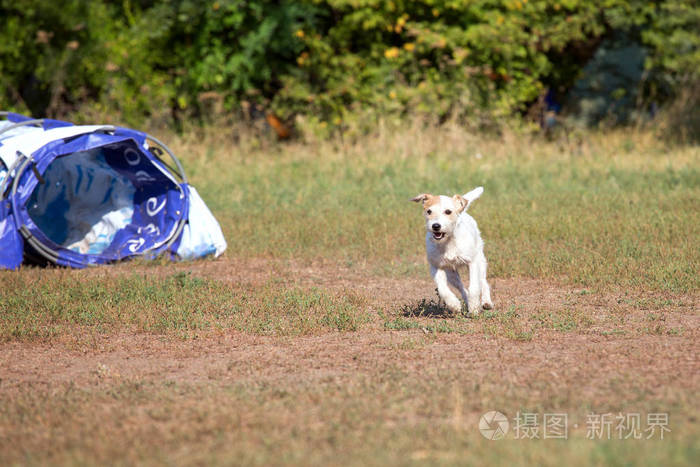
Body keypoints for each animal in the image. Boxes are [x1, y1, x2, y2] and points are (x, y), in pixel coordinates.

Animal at [410, 186, 492, 314]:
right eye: (429, 211)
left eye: (448, 211)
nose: (436, 226)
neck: (448, 242)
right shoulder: (436, 267)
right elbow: (443, 290)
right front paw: (454, 305)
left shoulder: (472, 263)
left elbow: (474, 287)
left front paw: (474, 308)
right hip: (452, 274)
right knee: (462, 289)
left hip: (480, 261)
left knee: (483, 282)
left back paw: (486, 302)